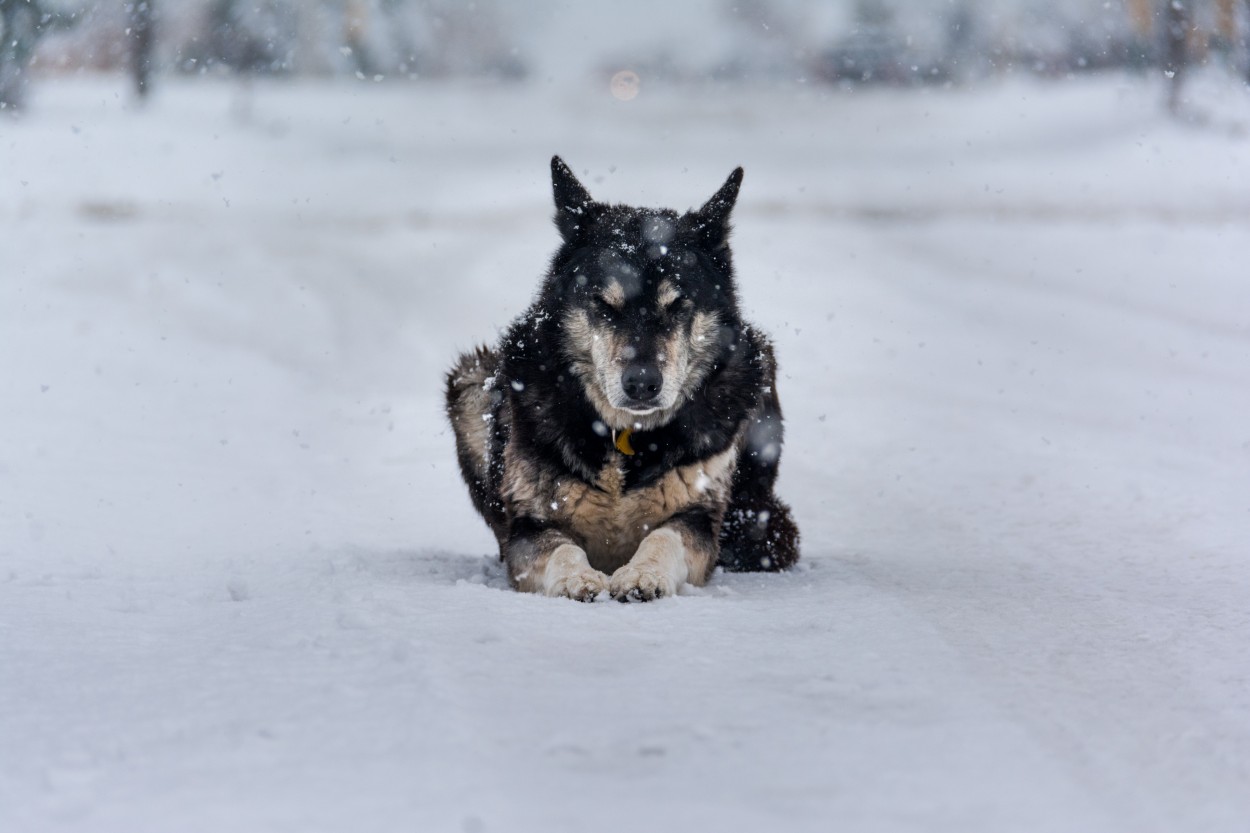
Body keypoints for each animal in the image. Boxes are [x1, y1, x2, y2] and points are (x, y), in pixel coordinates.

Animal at [447, 155, 800, 597]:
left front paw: (642, 574)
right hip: (469, 384)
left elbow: (664, 538)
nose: (642, 383)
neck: (624, 435)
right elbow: (561, 548)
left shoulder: (699, 518)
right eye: (604, 304)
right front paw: (577, 578)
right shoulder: (530, 526)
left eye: (677, 305)